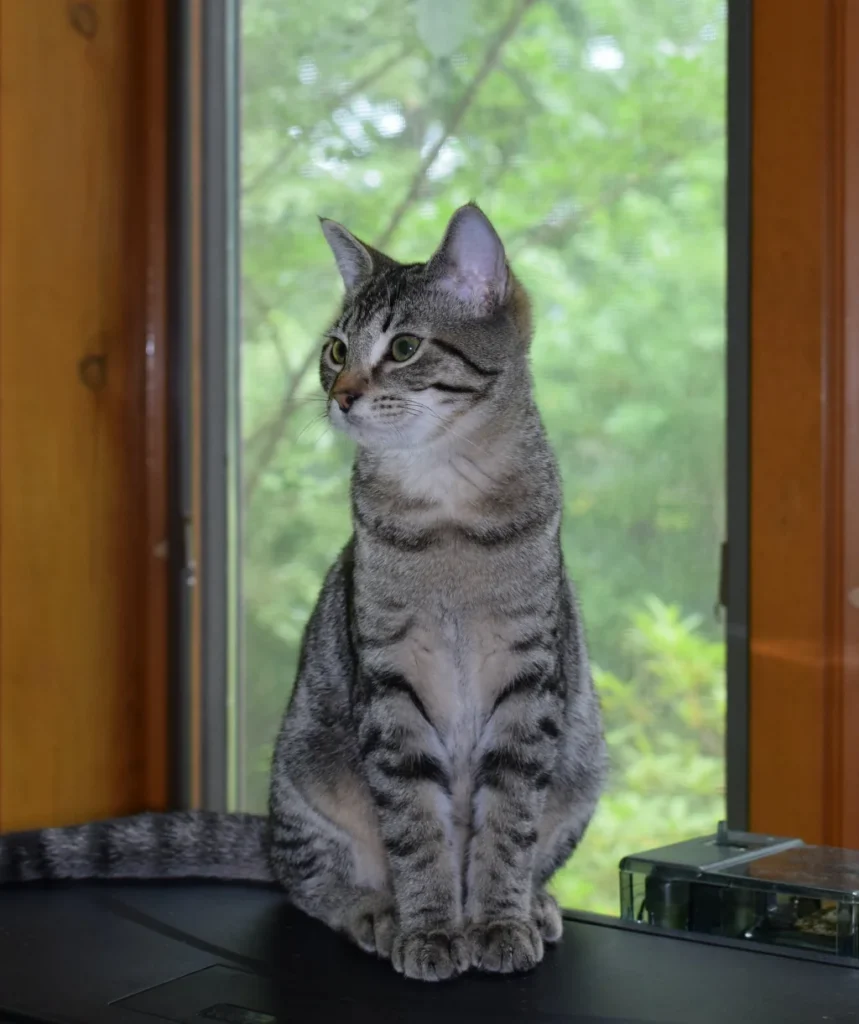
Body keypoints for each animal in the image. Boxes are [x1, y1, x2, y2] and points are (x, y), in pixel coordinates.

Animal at [0, 203, 606, 978]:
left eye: (404, 346)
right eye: (336, 350)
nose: (341, 396)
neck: (446, 512)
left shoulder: (529, 682)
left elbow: (506, 824)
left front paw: (497, 919)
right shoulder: (389, 686)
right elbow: (417, 828)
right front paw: (433, 929)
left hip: (583, 765)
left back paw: (534, 903)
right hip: (307, 779)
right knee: (307, 880)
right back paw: (376, 911)